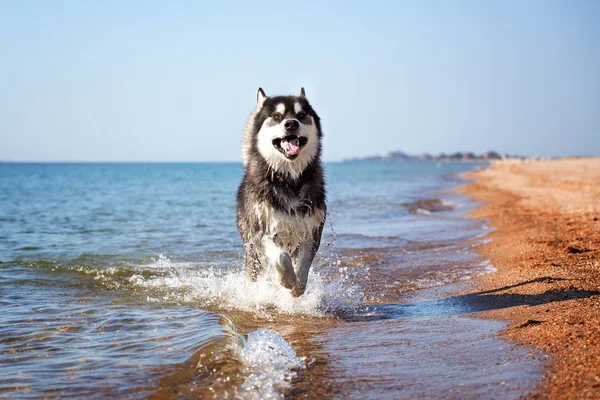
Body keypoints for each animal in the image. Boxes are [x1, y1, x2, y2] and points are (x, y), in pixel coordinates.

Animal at [236, 87, 326, 296]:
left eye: (301, 115)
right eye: (276, 116)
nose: (291, 123)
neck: (289, 178)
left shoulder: (312, 232)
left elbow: (303, 266)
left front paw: (297, 287)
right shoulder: (260, 233)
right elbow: (281, 257)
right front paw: (287, 279)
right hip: (252, 252)